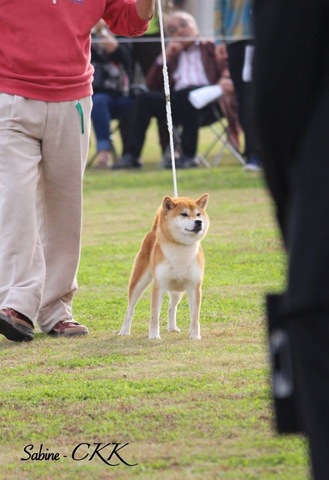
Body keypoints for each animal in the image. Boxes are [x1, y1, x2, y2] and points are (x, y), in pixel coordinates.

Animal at [119, 193, 209, 340]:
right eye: (184, 214)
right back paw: (124, 331)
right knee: (130, 309)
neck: (180, 248)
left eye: (198, 214)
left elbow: (195, 316)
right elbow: (154, 315)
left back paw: (172, 327)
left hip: (177, 290)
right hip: (138, 282)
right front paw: (154, 335)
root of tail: (154, 230)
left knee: (171, 307)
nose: (198, 222)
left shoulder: (194, 287)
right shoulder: (159, 286)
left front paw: (195, 335)